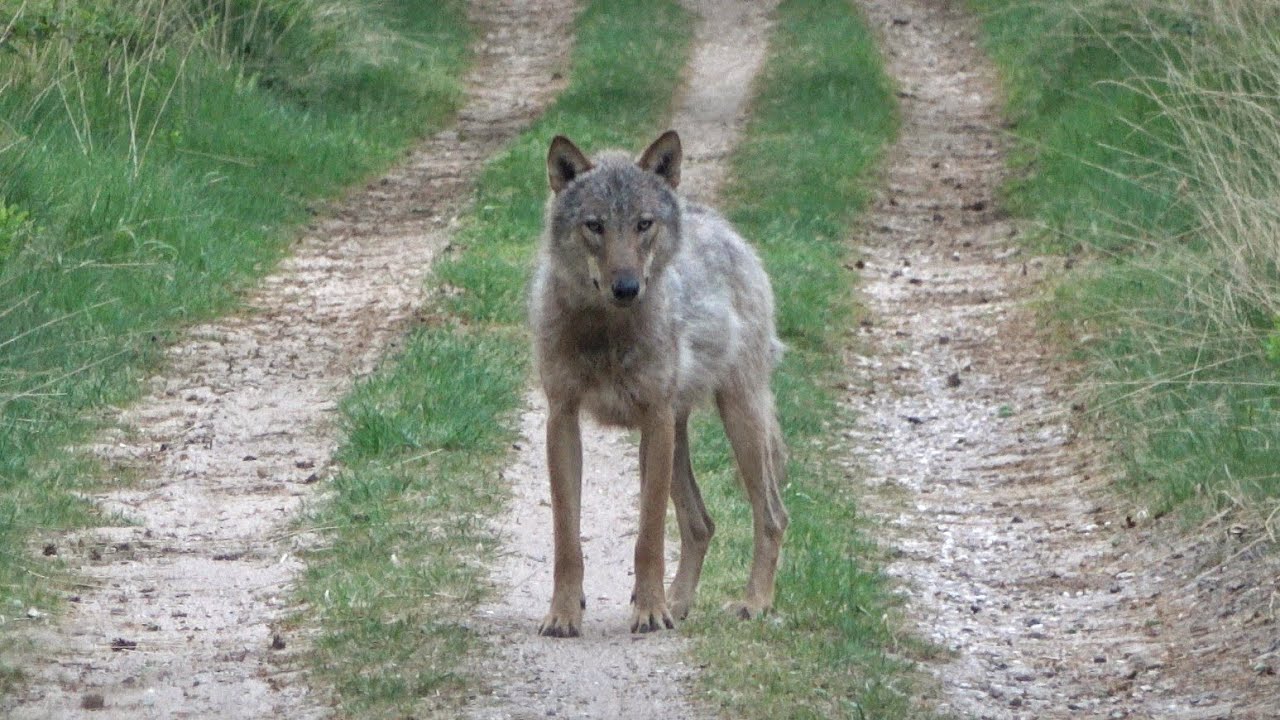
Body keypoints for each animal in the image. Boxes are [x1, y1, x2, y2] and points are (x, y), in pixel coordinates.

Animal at [528, 130, 789, 637]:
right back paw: (680, 603)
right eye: (595, 225)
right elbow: (566, 539)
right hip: (676, 437)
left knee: (772, 515)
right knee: (702, 524)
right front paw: (564, 614)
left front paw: (649, 612)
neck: (608, 332)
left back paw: (752, 603)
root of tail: (724, 227)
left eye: (643, 224)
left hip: (734, 418)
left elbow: (648, 535)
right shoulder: (562, 419)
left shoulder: (654, 419)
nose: (627, 287)